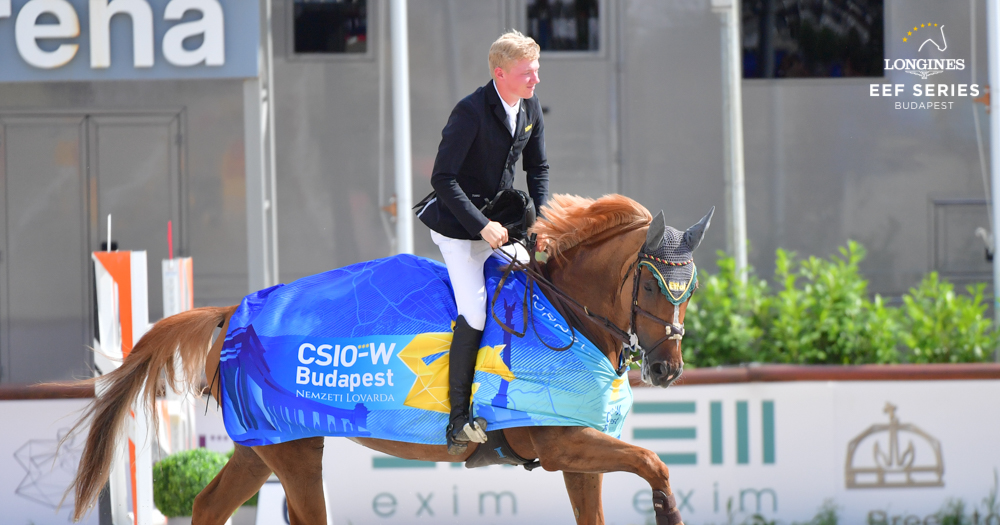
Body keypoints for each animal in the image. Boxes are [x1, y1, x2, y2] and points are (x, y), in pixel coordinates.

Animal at [66, 193, 708, 524]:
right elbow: (654, 461)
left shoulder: (578, 454)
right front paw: (668, 512)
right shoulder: (561, 442)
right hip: (295, 450)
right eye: (653, 287)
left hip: (264, 444)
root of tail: (236, 312)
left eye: (690, 289)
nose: (667, 370)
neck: (564, 311)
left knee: (207, 504)